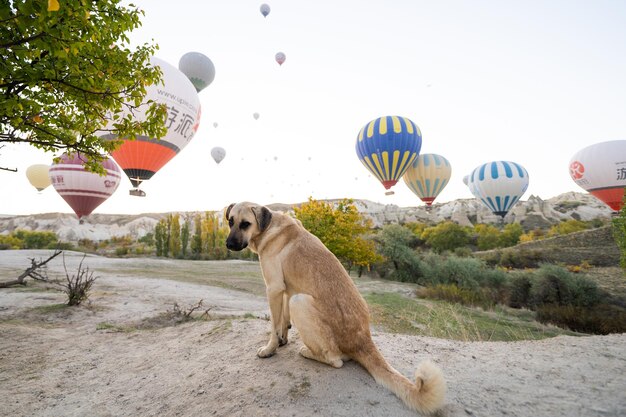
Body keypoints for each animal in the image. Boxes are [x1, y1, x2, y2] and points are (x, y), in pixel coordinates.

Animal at [224, 202, 444, 412]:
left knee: (335, 360)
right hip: (297, 298)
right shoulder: (286, 289)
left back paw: (308, 352)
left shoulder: (274, 288)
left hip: (299, 302)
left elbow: (274, 325)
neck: (269, 227)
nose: (228, 244)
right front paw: (282, 340)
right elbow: (283, 321)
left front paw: (270, 348)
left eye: (245, 224)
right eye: (230, 221)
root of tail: (363, 339)